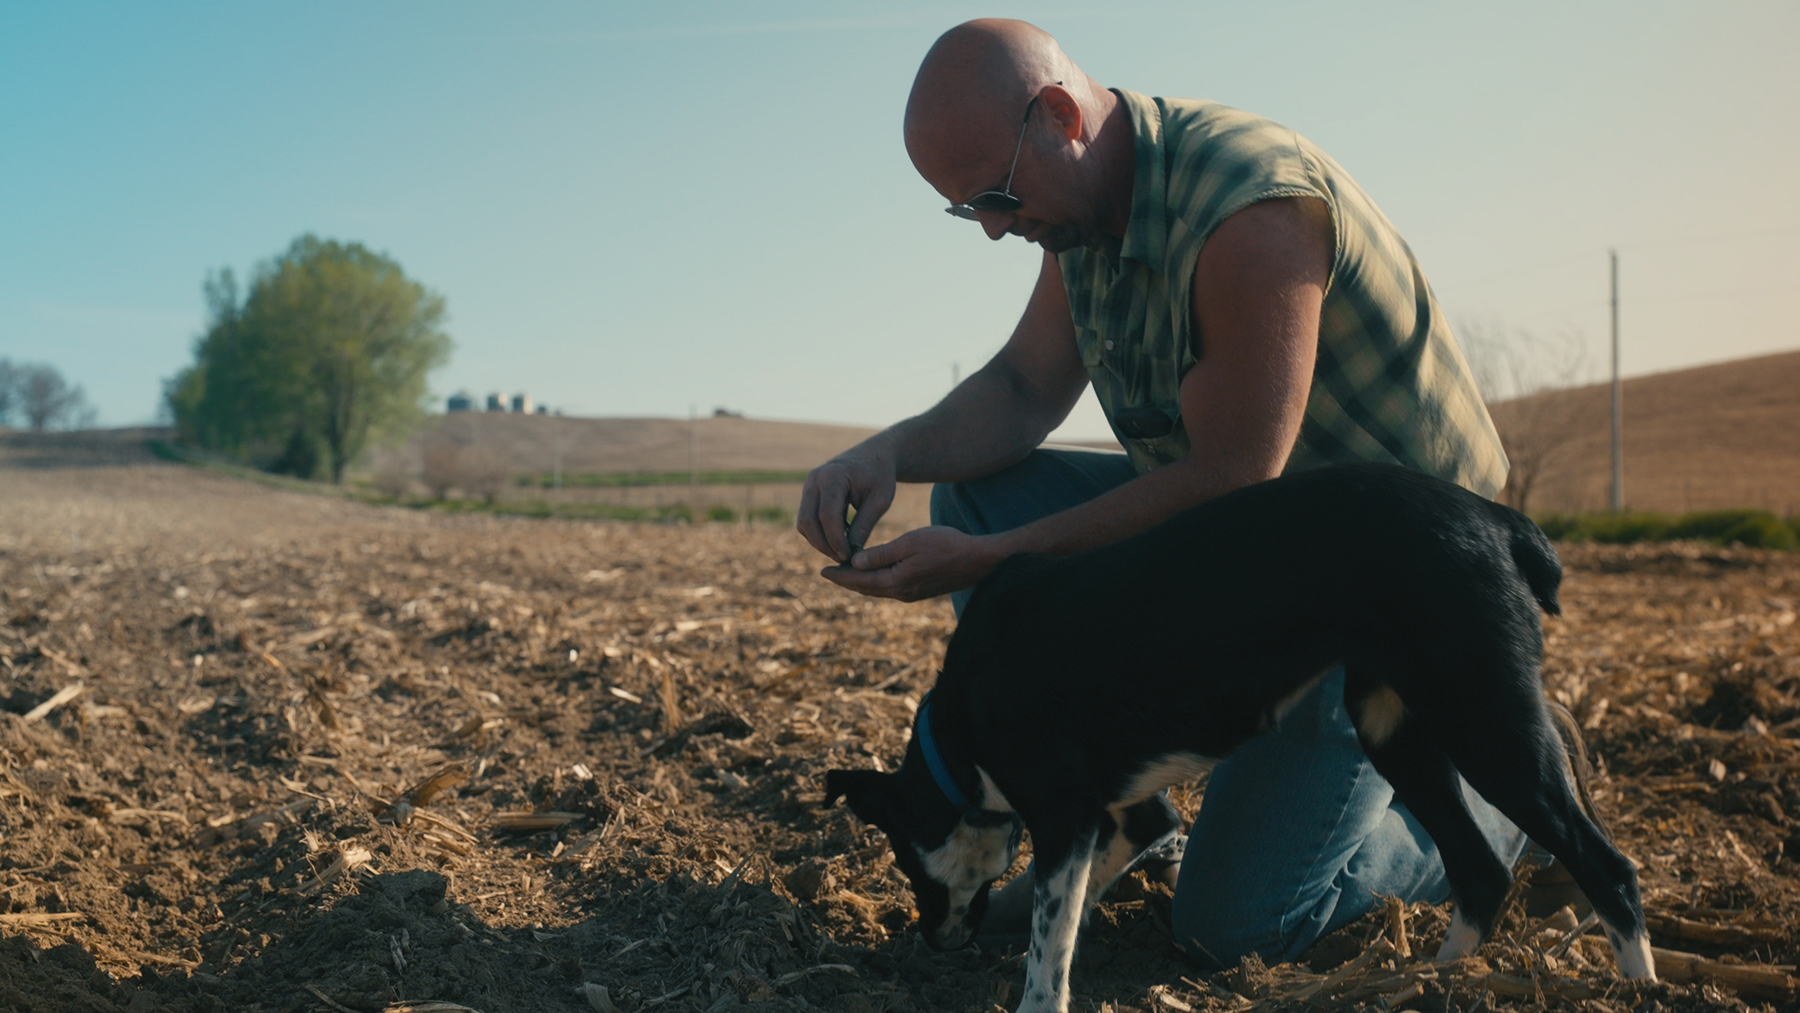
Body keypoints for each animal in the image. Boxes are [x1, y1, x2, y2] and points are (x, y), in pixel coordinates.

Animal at [824, 464, 1648, 1013]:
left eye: (905, 860)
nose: (931, 940)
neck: (958, 735)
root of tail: (1502, 520)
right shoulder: (1116, 812)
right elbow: (1076, 906)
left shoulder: (1062, 816)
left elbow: (1048, 945)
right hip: (1396, 726)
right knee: (1481, 870)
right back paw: (1429, 984)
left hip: (1482, 715)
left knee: (1605, 865)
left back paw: (1636, 987)